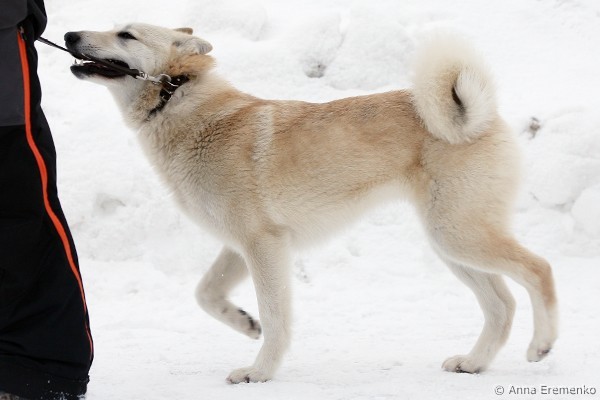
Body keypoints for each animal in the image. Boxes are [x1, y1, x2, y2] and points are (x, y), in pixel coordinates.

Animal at [64, 23, 558, 383]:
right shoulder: (241, 247)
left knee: (539, 270)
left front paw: (260, 372)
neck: (178, 102)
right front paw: (244, 324)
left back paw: (542, 344)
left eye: (126, 34)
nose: (68, 35)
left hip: (458, 235)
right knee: (502, 305)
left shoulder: (264, 245)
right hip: (450, 243)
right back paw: (474, 363)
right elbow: (207, 294)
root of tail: (481, 116)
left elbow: (276, 316)